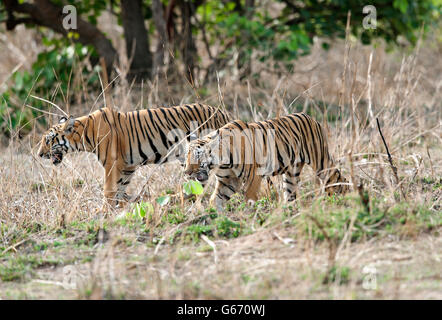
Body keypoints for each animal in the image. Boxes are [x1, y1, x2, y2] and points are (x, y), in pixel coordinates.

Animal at [37, 104, 231, 206]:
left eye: (48, 140)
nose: (39, 154)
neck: (84, 135)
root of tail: (223, 111)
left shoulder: (112, 164)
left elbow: (108, 189)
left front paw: (103, 211)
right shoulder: (127, 166)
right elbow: (120, 187)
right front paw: (120, 206)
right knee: (197, 183)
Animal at [183, 114, 348, 211]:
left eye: (198, 156)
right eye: (186, 157)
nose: (186, 172)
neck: (222, 162)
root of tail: (312, 118)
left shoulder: (253, 177)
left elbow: (249, 199)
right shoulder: (228, 181)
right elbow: (216, 200)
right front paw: (215, 217)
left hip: (321, 163)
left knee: (339, 180)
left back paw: (348, 200)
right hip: (291, 174)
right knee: (291, 194)